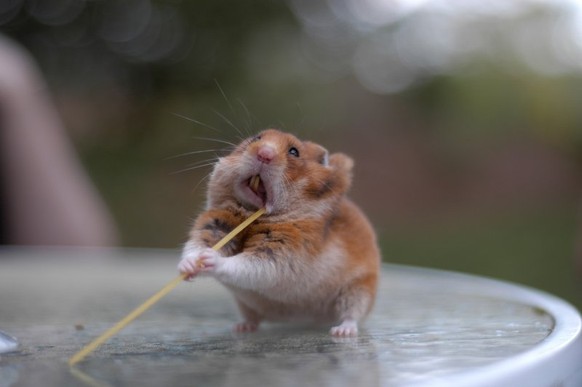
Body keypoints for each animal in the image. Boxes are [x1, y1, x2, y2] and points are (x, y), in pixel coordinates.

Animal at [181, 129, 384, 334]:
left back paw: (342, 331)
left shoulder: (280, 254)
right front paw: (188, 267)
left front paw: (209, 259)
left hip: (358, 290)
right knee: (253, 318)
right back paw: (241, 327)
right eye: (256, 138)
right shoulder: (213, 226)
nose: (264, 153)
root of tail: (311, 320)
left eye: (294, 152)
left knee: (352, 314)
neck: (251, 215)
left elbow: (243, 264)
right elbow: (196, 246)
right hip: (245, 304)